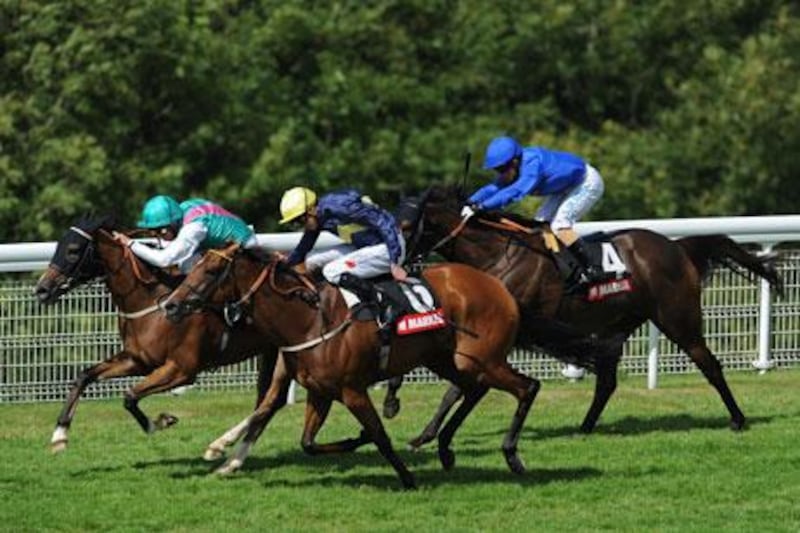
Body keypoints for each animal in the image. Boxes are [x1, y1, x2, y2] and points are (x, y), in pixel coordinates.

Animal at [33, 214, 278, 450]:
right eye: (58, 246)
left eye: (73, 250)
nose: (41, 290)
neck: (152, 305)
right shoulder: (138, 360)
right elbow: (85, 376)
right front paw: (59, 434)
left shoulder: (181, 370)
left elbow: (130, 395)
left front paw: (160, 422)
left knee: (269, 400)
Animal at [163, 243, 536, 488]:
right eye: (195, 266)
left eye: (211, 270)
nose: (170, 305)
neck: (309, 319)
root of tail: (499, 287)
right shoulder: (320, 392)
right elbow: (307, 443)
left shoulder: (352, 389)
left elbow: (380, 436)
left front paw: (407, 477)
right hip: (449, 360)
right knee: (474, 389)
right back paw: (445, 448)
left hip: (481, 358)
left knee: (527, 387)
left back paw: (512, 456)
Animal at [386, 185, 780, 442]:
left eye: (405, 226)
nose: (396, 263)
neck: (496, 253)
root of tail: (677, 248)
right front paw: (399, 410)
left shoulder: (498, 335)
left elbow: (457, 384)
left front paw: (422, 432)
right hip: (617, 325)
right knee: (607, 381)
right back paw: (585, 427)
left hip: (677, 319)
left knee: (709, 363)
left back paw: (738, 419)